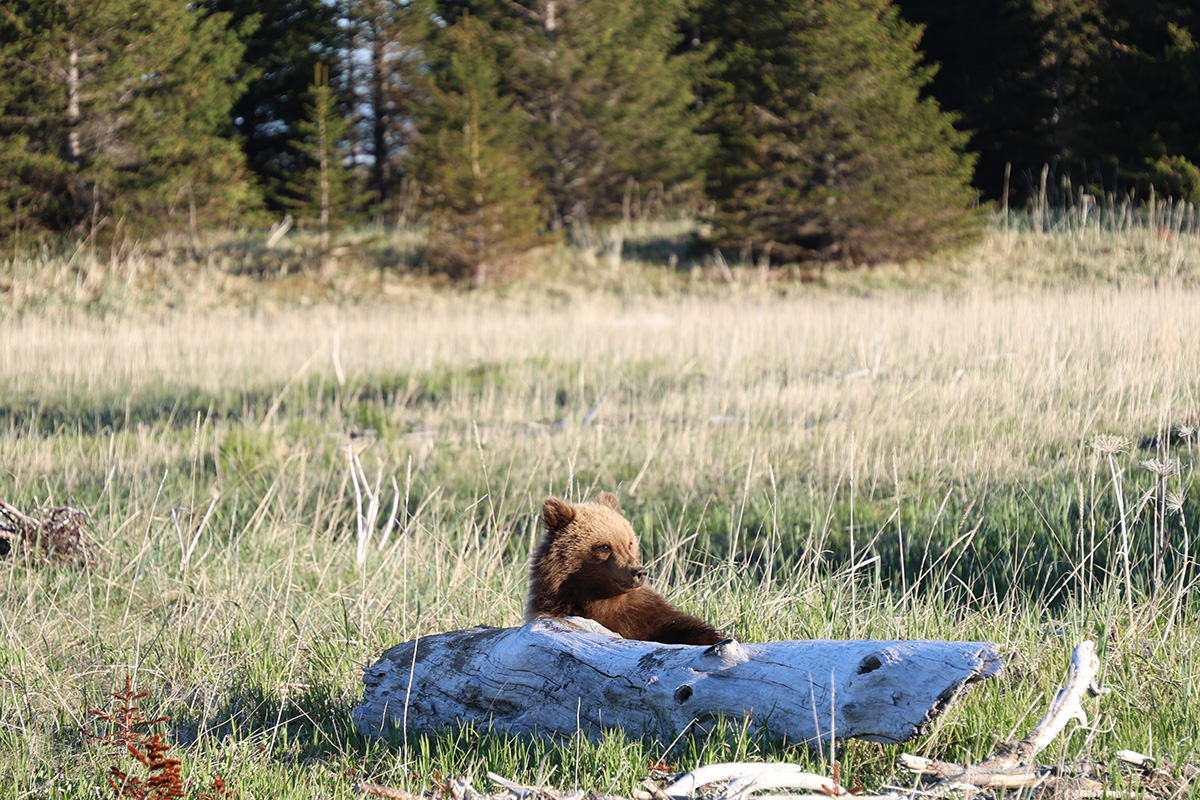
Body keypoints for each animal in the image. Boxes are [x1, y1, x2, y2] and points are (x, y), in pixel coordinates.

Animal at [525, 492, 722, 645]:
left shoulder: (643, 613)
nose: (639, 572)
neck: (600, 599)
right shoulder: (557, 608)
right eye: (604, 546)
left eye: (629, 543)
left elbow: (682, 625)